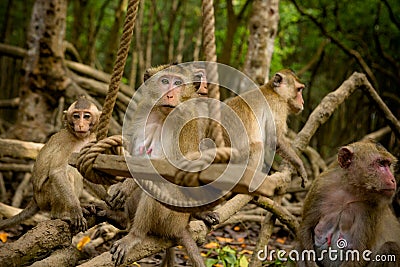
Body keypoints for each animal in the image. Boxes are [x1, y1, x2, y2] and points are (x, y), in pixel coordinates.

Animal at [0, 97, 101, 233]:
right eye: (76, 116)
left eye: (86, 116)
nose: (80, 124)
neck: (80, 139)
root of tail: (35, 198)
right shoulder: (66, 143)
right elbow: (57, 172)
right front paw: (75, 209)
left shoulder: (92, 141)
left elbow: (87, 173)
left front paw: (110, 198)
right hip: (44, 197)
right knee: (67, 174)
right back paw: (61, 214)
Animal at [111, 63, 208, 266]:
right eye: (165, 81)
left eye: (178, 83)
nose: (169, 94)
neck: (164, 115)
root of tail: (181, 227)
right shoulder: (143, 109)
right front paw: (121, 184)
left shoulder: (184, 122)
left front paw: (126, 185)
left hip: (172, 217)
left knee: (158, 188)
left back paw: (135, 235)